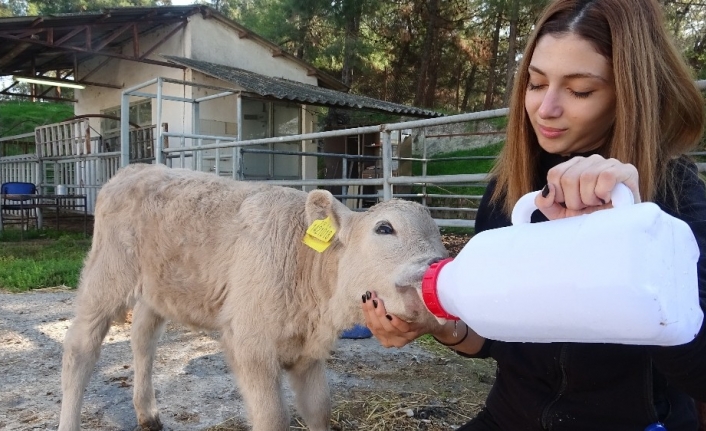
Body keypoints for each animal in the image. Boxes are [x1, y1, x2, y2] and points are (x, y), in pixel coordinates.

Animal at [59, 164, 446, 430]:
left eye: (439, 236)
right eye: (385, 228)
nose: (436, 265)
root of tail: (133, 168)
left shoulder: (308, 352)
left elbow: (319, 408)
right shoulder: (250, 343)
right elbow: (274, 418)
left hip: (157, 287)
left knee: (143, 337)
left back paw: (148, 413)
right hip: (107, 274)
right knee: (80, 348)